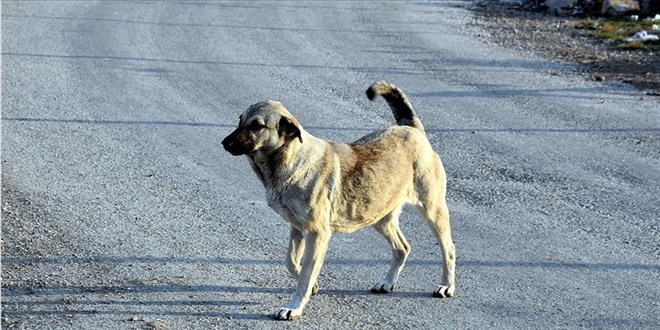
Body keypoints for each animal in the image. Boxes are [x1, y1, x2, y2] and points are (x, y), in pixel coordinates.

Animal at [222, 80, 454, 320]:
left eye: (257, 126)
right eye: (240, 120)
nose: (224, 143)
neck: (292, 160)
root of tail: (413, 129)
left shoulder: (317, 234)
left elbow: (305, 276)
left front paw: (294, 307)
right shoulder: (297, 228)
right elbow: (291, 261)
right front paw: (311, 286)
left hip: (432, 210)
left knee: (449, 248)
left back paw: (447, 286)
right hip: (380, 216)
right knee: (402, 248)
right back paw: (388, 282)